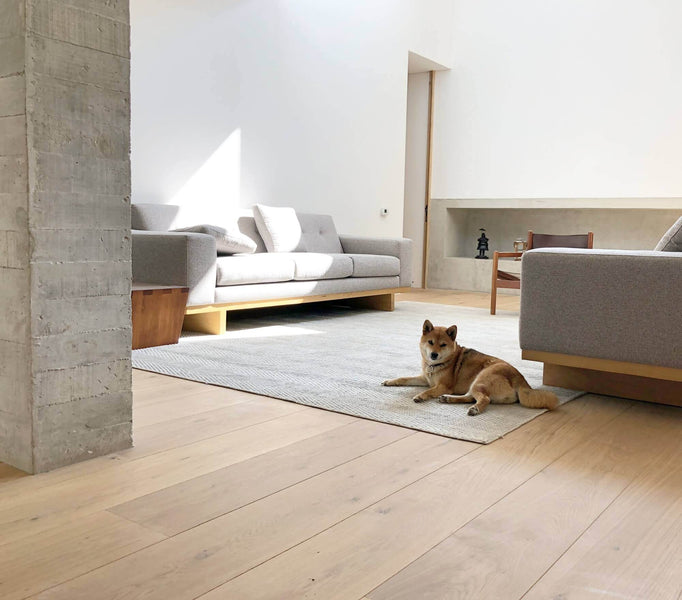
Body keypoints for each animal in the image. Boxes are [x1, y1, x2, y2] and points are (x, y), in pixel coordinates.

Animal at [380, 318, 556, 418]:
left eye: (442, 345)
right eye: (430, 342)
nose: (434, 355)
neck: (437, 365)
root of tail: (520, 379)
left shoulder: (443, 386)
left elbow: (429, 391)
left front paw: (420, 396)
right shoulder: (425, 378)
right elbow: (404, 378)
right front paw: (389, 381)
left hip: (481, 379)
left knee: (484, 399)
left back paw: (474, 409)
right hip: (476, 385)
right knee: (471, 397)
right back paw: (448, 399)